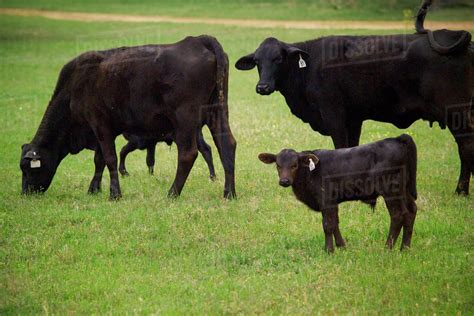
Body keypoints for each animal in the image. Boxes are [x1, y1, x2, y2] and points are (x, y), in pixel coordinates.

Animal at [19, 35, 237, 199]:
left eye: (28, 169)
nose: (25, 193)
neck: (73, 88)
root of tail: (197, 40)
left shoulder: (100, 124)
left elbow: (110, 158)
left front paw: (114, 194)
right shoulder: (99, 131)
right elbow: (99, 160)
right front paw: (94, 189)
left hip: (186, 120)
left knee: (188, 154)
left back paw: (172, 193)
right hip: (217, 112)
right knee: (227, 145)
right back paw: (229, 193)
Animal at [235, 2, 472, 195]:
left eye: (278, 59)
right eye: (257, 61)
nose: (262, 87)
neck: (309, 68)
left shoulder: (335, 116)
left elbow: (341, 148)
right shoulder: (354, 119)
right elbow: (352, 148)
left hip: (456, 113)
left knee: (466, 147)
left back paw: (460, 191)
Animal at [260, 135, 418, 253]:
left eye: (294, 165)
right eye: (278, 165)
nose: (284, 181)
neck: (310, 172)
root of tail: (397, 138)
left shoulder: (326, 201)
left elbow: (328, 225)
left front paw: (329, 250)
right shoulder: (332, 203)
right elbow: (335, 222)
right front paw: (341, 246)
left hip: (391, 191)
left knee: (398, 215)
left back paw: (387, 248)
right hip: (404, 190)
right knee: (411, 212)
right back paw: (405, 248)